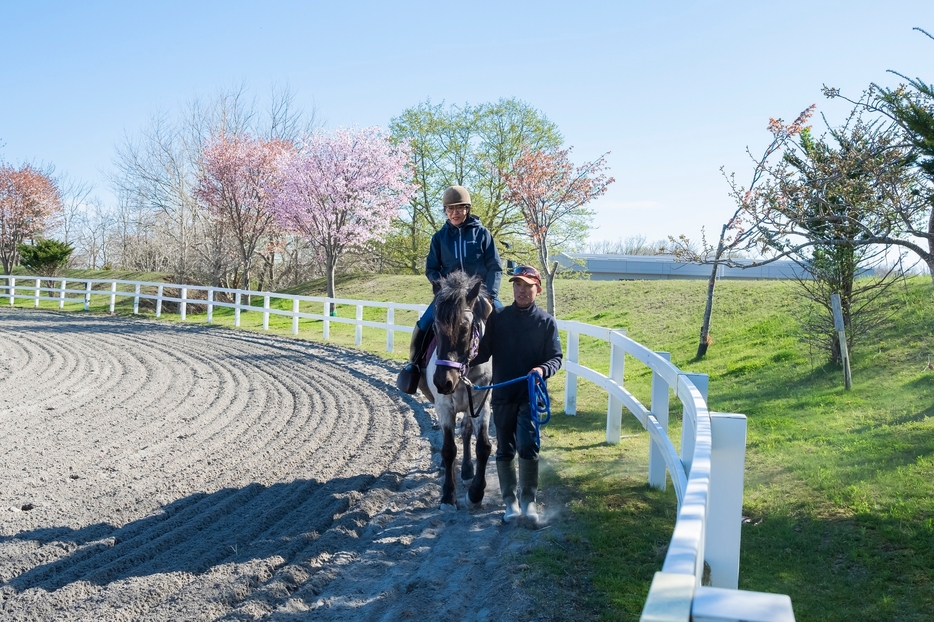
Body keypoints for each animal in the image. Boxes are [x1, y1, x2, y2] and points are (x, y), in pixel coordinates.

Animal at [418, 272, 494, 512]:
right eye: (434, 329)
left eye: (465, 329)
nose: (443, 381)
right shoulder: (444, 407)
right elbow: (449, 449)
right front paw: (448, 496)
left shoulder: (480, 404)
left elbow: (483, 446)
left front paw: (476, 493)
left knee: (467, 430)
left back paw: (468, 471)